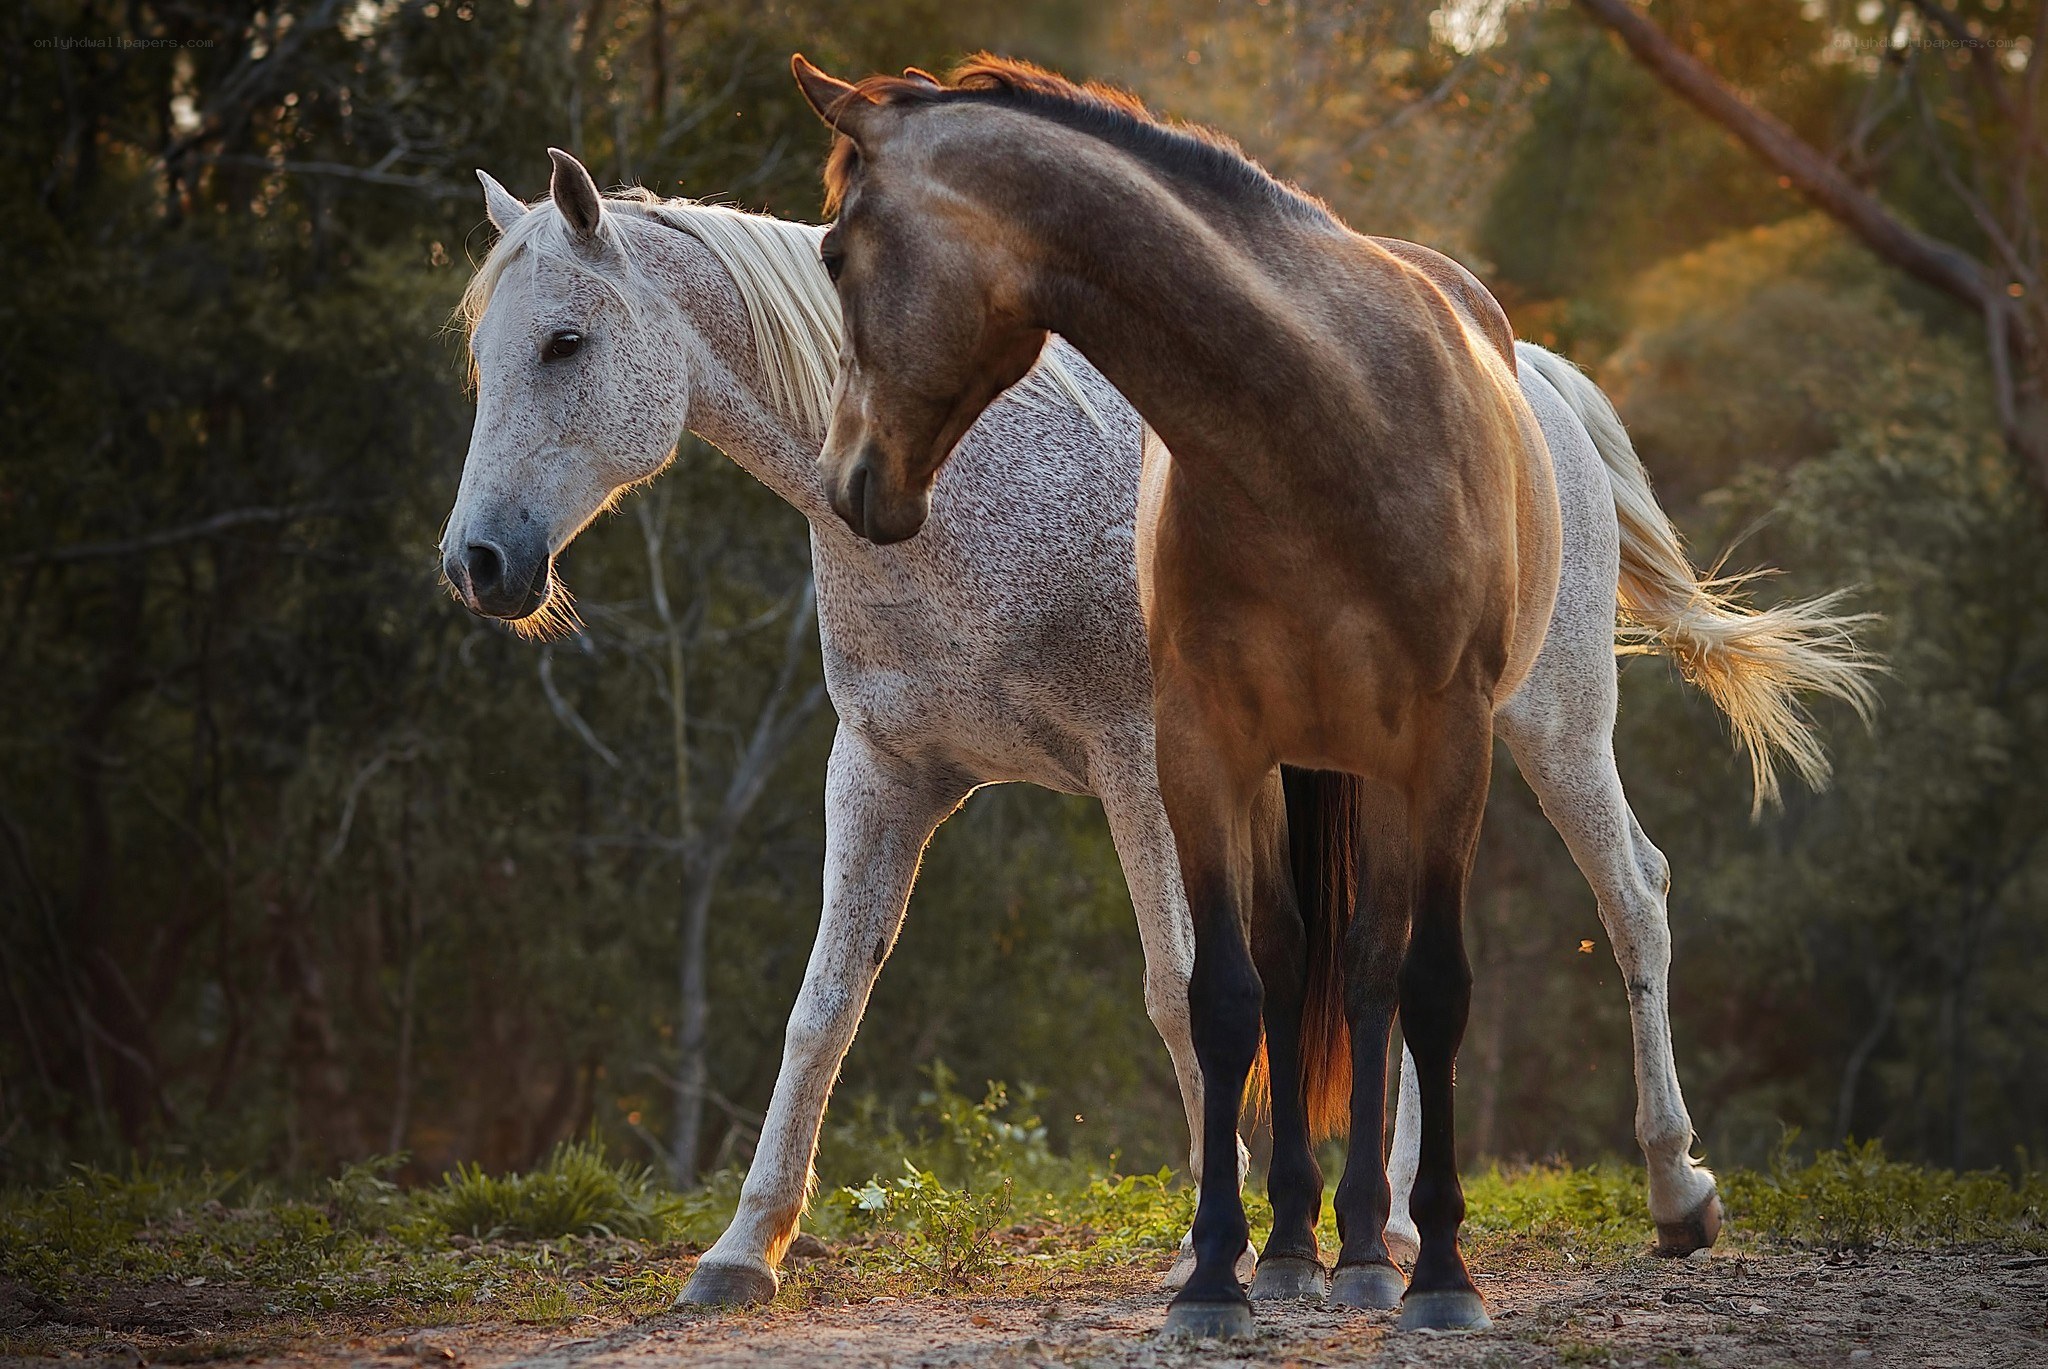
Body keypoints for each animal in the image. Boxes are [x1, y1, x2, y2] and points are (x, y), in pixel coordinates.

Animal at [441, 142, 1872, 1310]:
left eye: (564, 343)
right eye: (483, 354)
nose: (479, 563)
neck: (957, 491)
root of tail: (1538, 388)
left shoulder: (1140, 767)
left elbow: (1179, 995)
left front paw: (1209, 1247)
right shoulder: (885, 772)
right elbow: (823, 1007)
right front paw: (743, 1249)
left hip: (1552, 726)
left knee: (1631, 893)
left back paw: (1675, 1192)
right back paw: (1403, 1230)